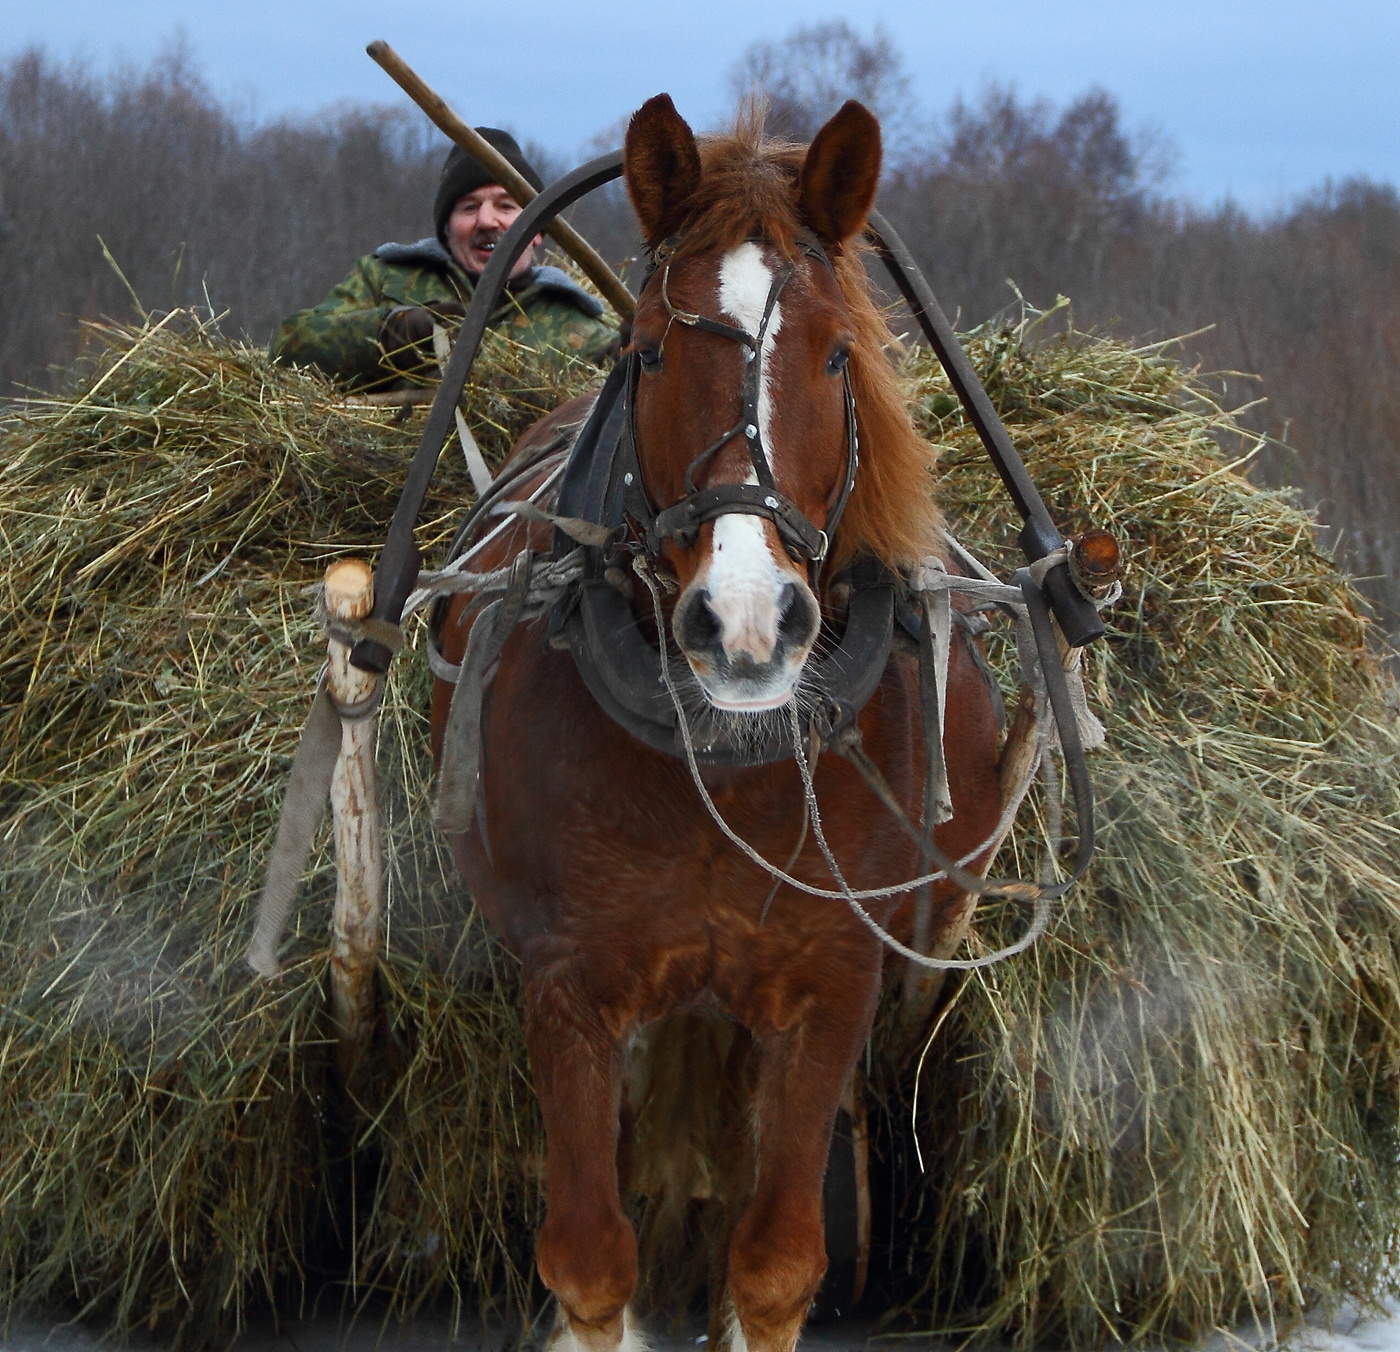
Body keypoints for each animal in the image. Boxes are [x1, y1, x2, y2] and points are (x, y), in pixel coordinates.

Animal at [428, 95, 1008, 1352]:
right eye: (649, 349)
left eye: (835, 353)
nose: (745, 621)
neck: (725, 762)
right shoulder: (573, 982)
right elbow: (591, 1260)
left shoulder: (827, 983)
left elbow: (775, 1263)